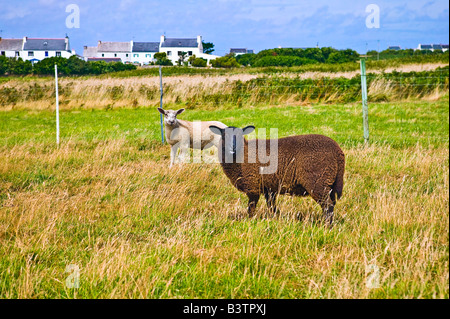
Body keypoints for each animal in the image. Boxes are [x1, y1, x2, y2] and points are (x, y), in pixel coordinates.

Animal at [209, 125, 346, 228]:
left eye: (239, 135)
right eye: (224, 136)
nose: (232, 147)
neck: (242, 154)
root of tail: (338, 152)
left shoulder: (252, 185)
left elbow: (251, 207)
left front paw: (249, 221)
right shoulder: (269, 188)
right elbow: (271, 206)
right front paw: (274, 220)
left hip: (318, 181)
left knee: (327, 205)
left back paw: (326, 226)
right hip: (329, 183)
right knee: (331, 204)